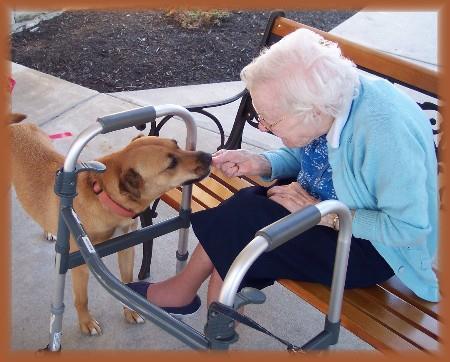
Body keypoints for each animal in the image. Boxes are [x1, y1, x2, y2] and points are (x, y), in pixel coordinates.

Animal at [8, 114, 212, 336]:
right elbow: (82, 299)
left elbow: (127, 281)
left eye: (177, 144)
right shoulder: (80, 264)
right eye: (171, 164)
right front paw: (86, 322)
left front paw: (131, 310)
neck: (103, 196)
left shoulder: (127, 246)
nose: (209, 156)